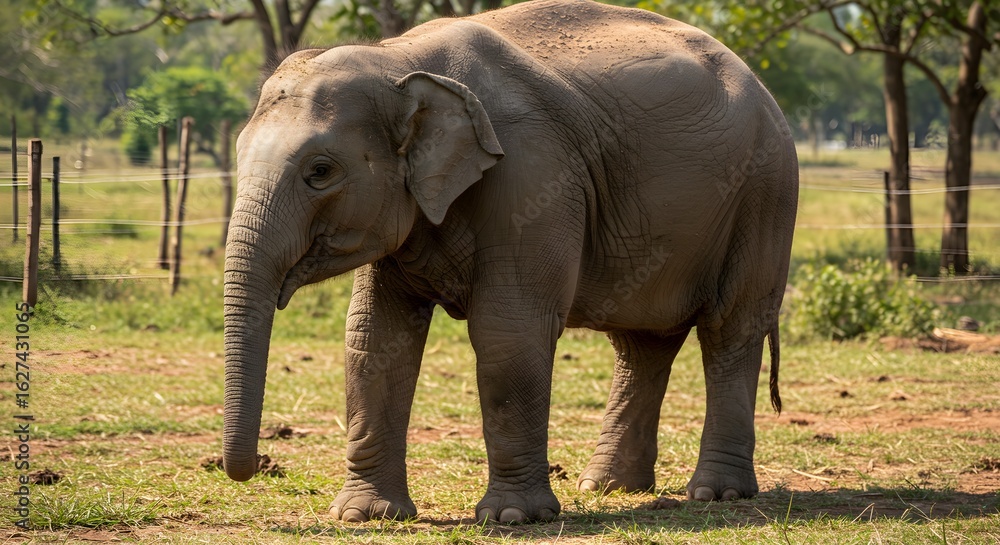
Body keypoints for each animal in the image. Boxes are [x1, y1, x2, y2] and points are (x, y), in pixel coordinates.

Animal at [222, 0, 798, 525]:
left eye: (321, 171)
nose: (253, 468)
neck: (399, 60)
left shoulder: (533, 174)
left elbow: (508, 330)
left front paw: (512, 517)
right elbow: (374, 335)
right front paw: (366, 515)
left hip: (764, 197)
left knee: (730, 329)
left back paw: (717, 494)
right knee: (643, 344)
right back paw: (607, 487)